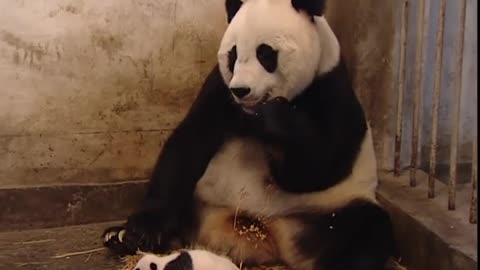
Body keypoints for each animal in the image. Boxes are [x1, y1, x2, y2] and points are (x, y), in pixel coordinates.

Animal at [103, 0, 396, 270]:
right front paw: (143, 231)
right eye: (233, 55)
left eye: (265, 54)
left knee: (367, 230)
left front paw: (275, 120)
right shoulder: (220, 88)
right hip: (204, 198)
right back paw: (120, 236)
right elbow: (189, 142)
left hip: (327, 212)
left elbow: (318, 168)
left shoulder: (331, 87)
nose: (242, 90)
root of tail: (264, 236)